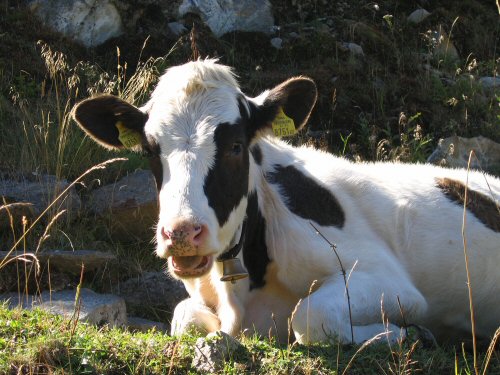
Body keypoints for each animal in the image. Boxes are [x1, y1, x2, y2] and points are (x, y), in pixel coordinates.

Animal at [73, 59, 500, 346]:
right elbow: (184, 317)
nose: (181, 233)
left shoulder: (391, 281)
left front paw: (402, 334)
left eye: (235, 146)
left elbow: (309, 317)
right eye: (150, 150)